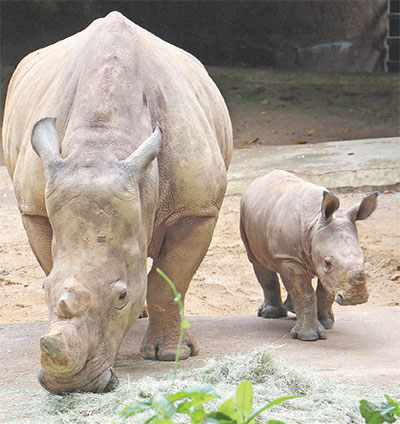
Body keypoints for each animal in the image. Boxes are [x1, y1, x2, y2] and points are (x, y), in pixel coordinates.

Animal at [1, 10, 233, 394]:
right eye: (42, 290)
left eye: (121, 296)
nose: (70, 385)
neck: (102, 145)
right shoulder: (34, 208)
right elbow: (54, 264)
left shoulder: (198, 210)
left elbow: (170, 279)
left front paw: (171, 355)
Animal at [241, 170, 378, 342]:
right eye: (328, 263)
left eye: (365, 260)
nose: (356, 299)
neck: (314, 223)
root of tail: (257, 181)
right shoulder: (289, 258)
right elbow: (304, 292)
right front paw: (309, 336)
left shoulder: (322, 267)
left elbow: (325, 292)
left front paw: (325, 323)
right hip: (244, 214)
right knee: (258, 262)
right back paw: (270, 314)